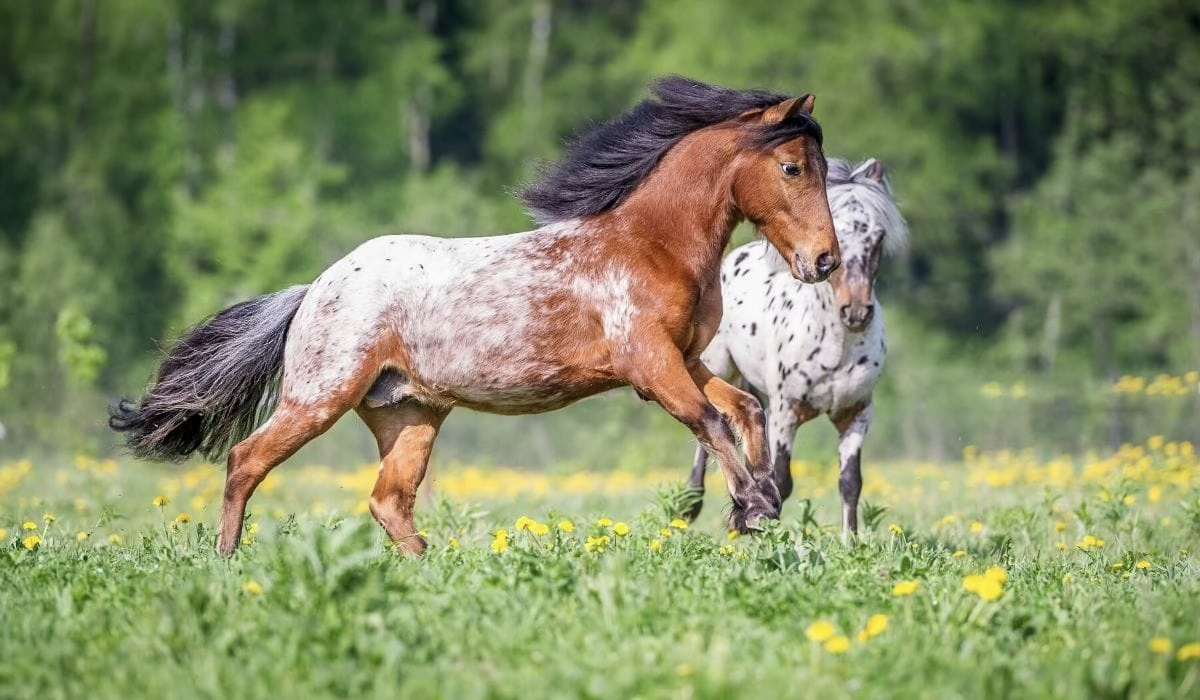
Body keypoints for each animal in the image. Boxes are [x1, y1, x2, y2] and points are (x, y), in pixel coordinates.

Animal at [110, 76, 842, 556]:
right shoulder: (650, 365)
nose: (825, 260)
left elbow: (744, 411)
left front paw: (758, 507)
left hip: (409, 415)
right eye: (792, 167)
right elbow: (710, 421)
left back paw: (431, 569)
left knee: (388, 501)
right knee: (245, 461)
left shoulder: (684, 359)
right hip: (319, 398)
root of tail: (315, 289)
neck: (652, 243)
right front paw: (755, 505)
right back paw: (228, 564)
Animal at [685, 157, 906, 535]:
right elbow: (782, 482)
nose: (856, 311)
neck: (835, 348)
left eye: (877, 236)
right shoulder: (787, 412)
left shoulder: (856, 413)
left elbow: (850, 482)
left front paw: (851, 541)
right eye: (837, 233)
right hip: (719, 369)